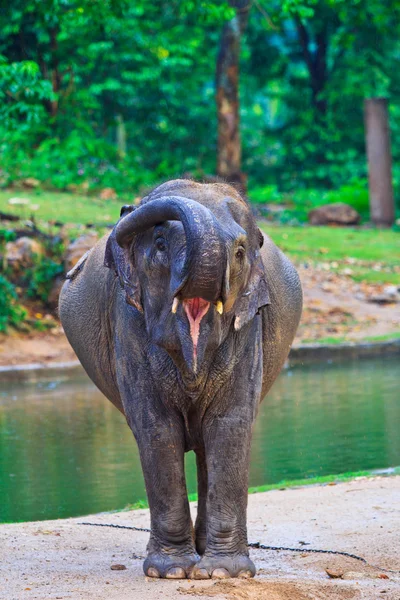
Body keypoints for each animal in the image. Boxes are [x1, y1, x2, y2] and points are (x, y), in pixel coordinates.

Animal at [59, 179, 302, 580]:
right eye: (159, 245)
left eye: (239, 252)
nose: (126, 210)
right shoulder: (128, 324)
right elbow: (157, 429)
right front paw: (170, 572)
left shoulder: (248, 327)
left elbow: (230, 424)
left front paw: (224, 574)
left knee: (206, 444)